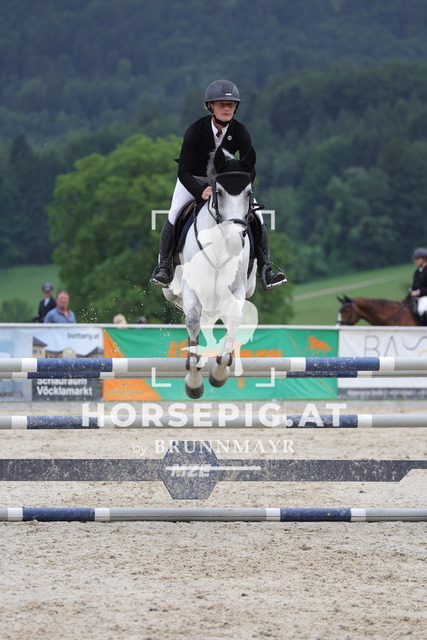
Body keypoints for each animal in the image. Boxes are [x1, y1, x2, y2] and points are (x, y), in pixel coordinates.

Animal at [163, 146, 260, 398]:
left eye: (249, 193)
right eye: (219, 192)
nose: (234, 244)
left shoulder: (236, 289)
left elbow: (235, 319)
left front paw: (219, 373)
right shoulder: (191, 288)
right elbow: (192, 321)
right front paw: (194, 382)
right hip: (174, 291)